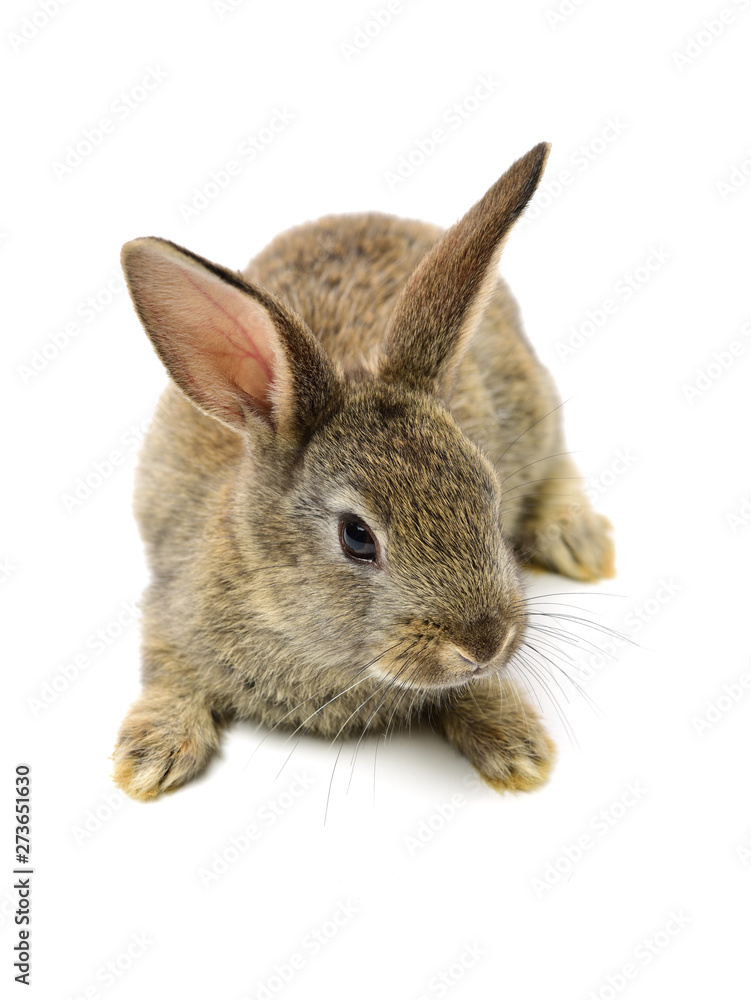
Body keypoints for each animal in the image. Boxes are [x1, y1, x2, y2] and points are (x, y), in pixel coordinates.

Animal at [112, 142, 614, 802]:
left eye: (491, 498)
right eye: (357, 537)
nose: (485, 642)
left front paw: (518, 748)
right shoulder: (168, 612)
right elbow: (166, 675)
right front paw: (148, 758)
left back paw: (579, 541)